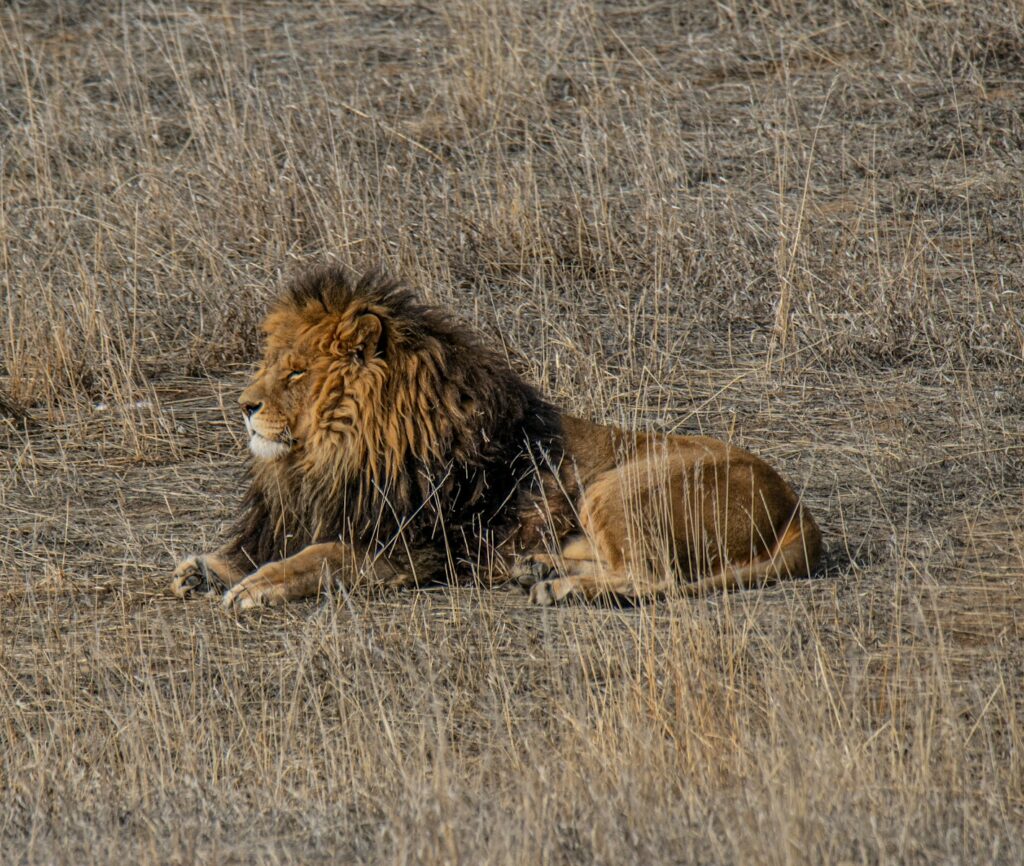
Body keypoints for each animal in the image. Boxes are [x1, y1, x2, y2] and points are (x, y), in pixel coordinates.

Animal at [171, 266, 821, 609]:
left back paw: (556, 590)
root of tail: (799, 511)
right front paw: (203, 568)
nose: (244, 406)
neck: (332, 453)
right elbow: (263, 547)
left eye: (297, 373)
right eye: (271, 365)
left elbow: (317, 556)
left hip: (616, 485)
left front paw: (256, 586)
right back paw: (535, 568)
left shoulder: (408, 547)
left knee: (654, 576)